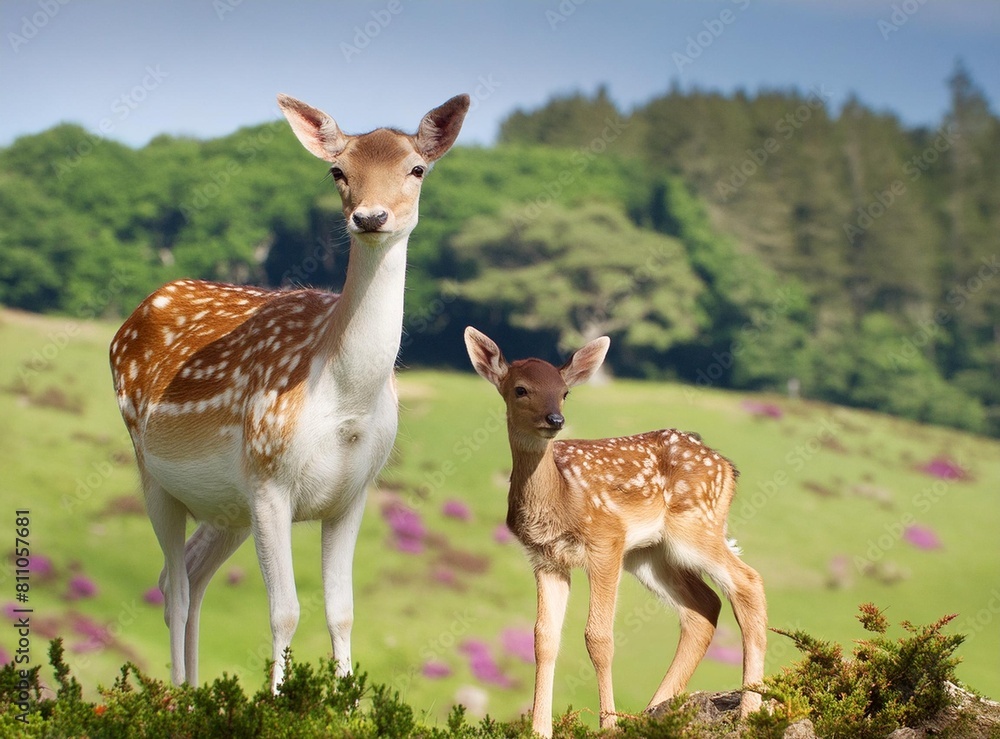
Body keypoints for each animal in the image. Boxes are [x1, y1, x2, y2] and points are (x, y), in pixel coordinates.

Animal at [109, 92, 469, 691]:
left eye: (417, 168)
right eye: (337, 171)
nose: (370, 216)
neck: (347, 401)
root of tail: (126, 323)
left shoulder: (353, 492)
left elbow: (341, 611)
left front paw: (346, 699)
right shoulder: (268, 475)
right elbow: (285, 611)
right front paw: (278, 697)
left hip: (226, 507)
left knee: (188, 574)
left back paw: (200, 690)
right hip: (153, 469)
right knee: (173, 587)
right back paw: (178, 694)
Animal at [463, 327, 767, 737]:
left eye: (564, 391)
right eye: (520, 389)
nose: (555, 419)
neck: (560, 496)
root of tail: (728, 468)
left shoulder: (606, 539)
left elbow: (599, 637)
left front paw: (607, 724)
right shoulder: (546, 558)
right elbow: (543, 639)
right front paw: (540, 729)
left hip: (695, 526)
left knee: (747, 583)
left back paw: (750, 710)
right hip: (650, 554)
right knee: (704, 606)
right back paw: (656, 710)